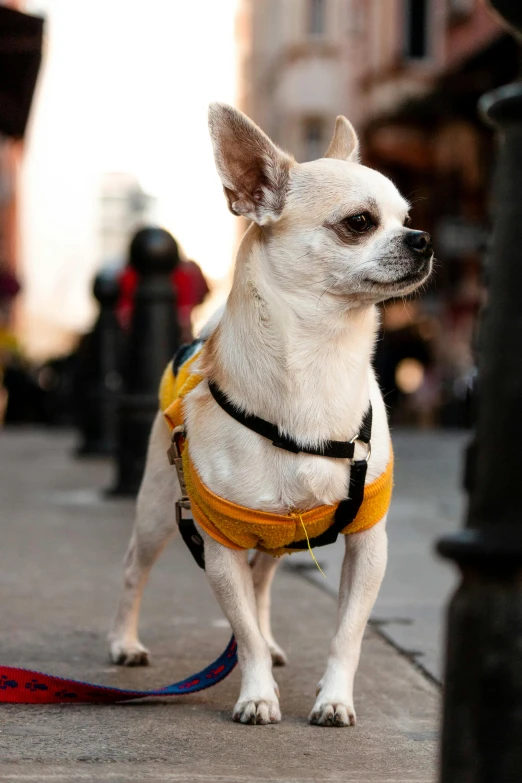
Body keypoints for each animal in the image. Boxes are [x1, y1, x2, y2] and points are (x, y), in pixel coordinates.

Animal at [108, 104, 430, 728]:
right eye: (360, 222)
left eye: (407, 217)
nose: (423, 239)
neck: (320, 360)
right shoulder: (219, 545)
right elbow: (244, 634)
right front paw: (256, 695)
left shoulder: (368, 544)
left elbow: (347, 633)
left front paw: (334, 699)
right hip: (159, 508)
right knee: (134, 567)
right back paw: (124, 642)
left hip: (279, 535)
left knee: (261, 587)